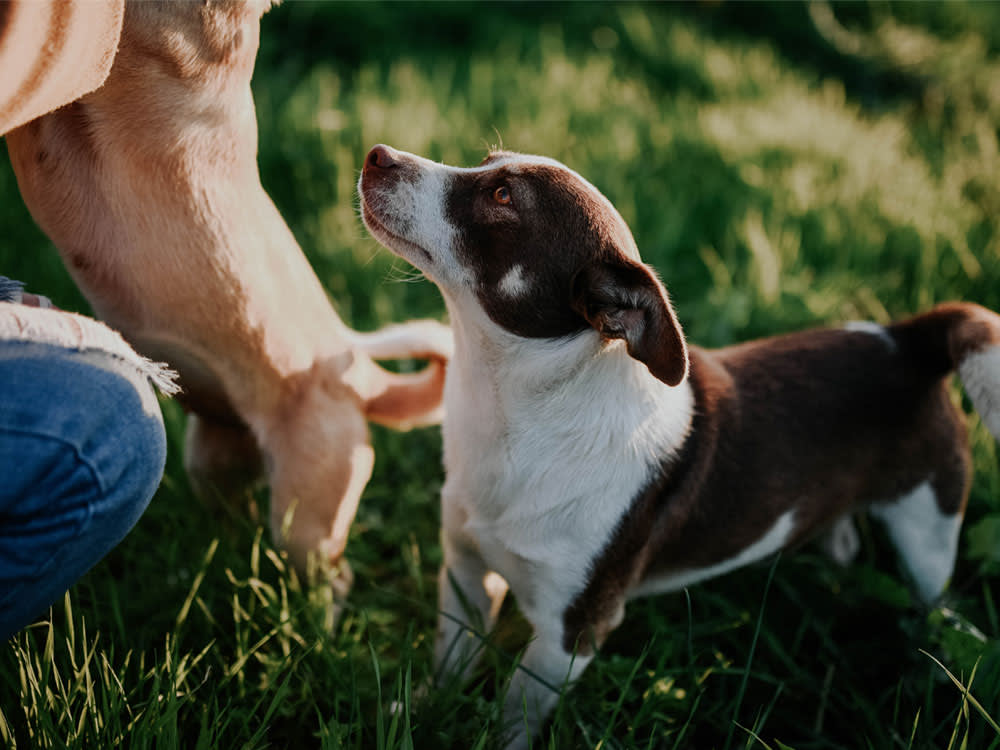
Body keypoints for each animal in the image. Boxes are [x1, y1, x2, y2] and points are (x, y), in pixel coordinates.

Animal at [364, 144, 1000, 748]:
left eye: (501, 196)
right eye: (486, 162)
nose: (377, 154)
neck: (514, 416)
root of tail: (910, 339)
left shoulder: (571, 633)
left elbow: (515, 715)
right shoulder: (465, 572)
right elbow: (450, 659)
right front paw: (423, 709)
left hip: (928, 534)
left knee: (934, 604)